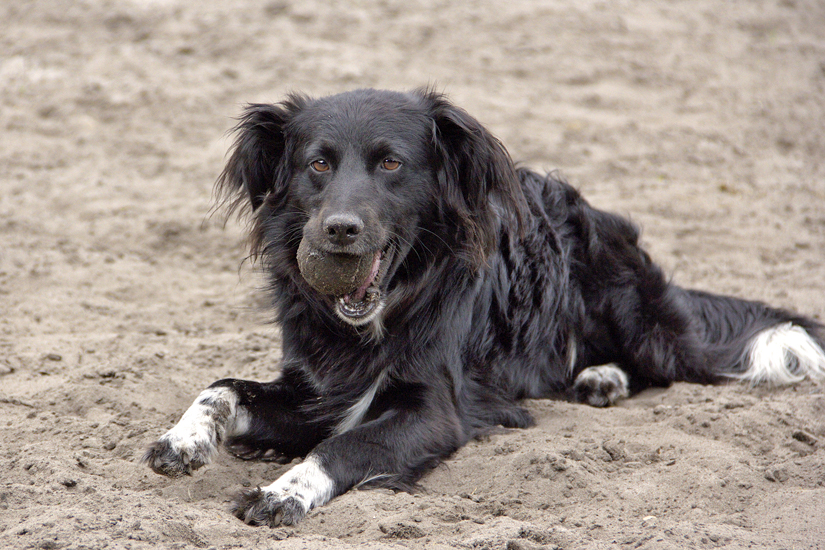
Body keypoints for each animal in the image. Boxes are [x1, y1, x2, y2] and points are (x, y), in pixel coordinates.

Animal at [143, 88, 824, 528]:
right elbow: (220, 387)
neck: (382, 315)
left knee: (666, 363)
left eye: (390, 162)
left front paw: (284, 491)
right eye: (318, 164)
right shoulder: (316, 388)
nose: (338, 231)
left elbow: (343, 447)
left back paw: (605, 375)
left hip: (637, 315)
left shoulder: (433, 411)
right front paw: (184, 440)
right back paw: (595, 377)